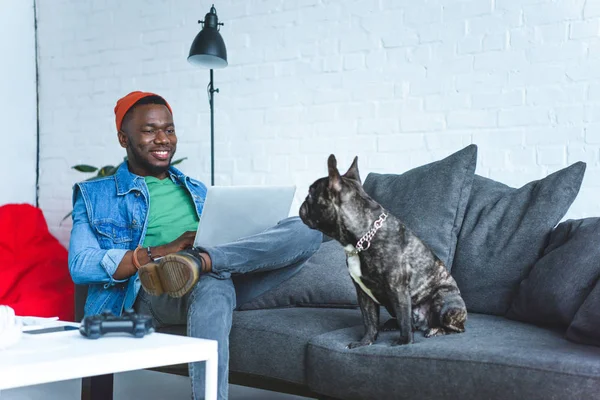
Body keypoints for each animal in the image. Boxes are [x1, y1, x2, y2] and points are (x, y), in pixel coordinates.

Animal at [300, 155, 468, 348]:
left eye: (311, 194)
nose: (303, 203)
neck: (360, 240)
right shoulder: (363, 293)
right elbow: (369, 320)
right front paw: (365, 341)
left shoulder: (398, 288)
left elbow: (403, 318)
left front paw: (404, 342)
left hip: (444, 302)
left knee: (454, 328)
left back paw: (436, 330)